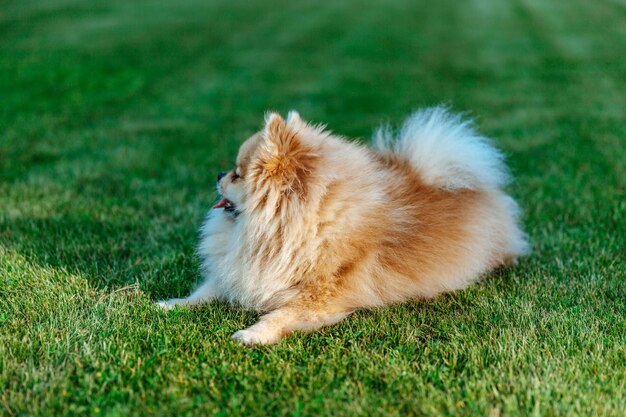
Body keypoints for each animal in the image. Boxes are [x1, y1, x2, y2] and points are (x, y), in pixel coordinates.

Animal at [156, 107, 528, 344]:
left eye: (236, 174)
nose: (218, 174)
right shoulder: (242, 271)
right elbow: (204, 291)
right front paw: (170, 304)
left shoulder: (320, 299)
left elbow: (280, 315)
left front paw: (252, 334)